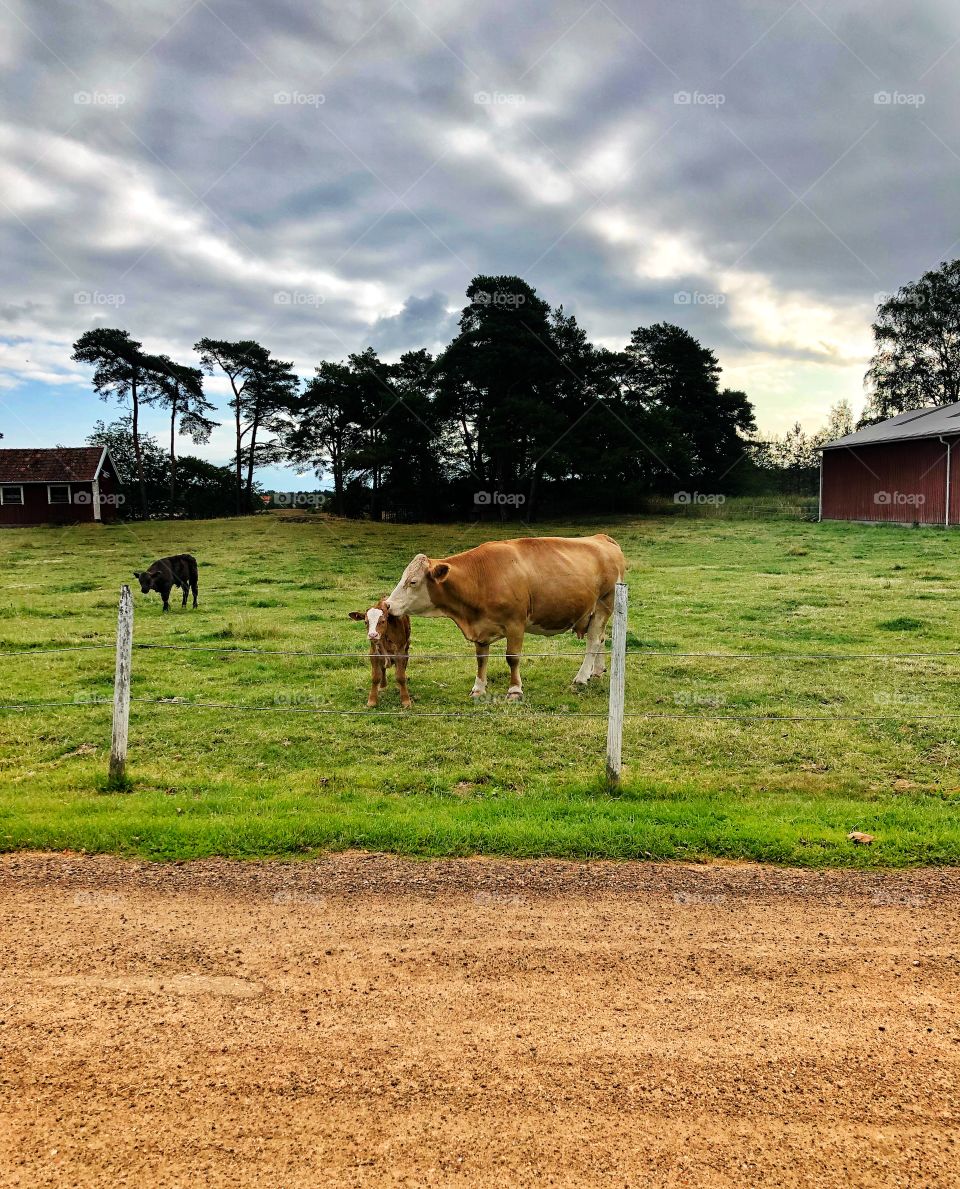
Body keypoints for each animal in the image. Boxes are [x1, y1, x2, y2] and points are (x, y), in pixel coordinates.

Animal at [384, 534, 625, 701]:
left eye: (413, 582)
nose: (387, 605)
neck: (480, 578)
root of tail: (602, 538)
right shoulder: (480, 628)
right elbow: (481, 659)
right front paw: (478, 689)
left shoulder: (515, 624)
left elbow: (512, 658)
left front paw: (515, 690)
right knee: (601, 638)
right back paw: (596, 672)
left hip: (604, 603)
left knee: (593, 640)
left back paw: (581, 677)